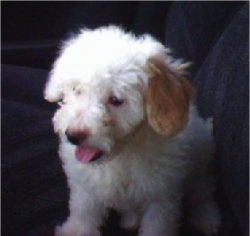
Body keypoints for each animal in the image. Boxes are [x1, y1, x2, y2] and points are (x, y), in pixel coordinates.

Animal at [44, 25, 220, 236]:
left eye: (116, 100)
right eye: (77, 90)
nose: (73, 135)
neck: (123, 155)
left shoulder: (162, 196)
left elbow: (157, 227)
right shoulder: (85, 184)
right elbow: (84, 211)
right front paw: (76, 230)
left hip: (202, 158)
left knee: (202, 191)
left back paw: (206, 218)